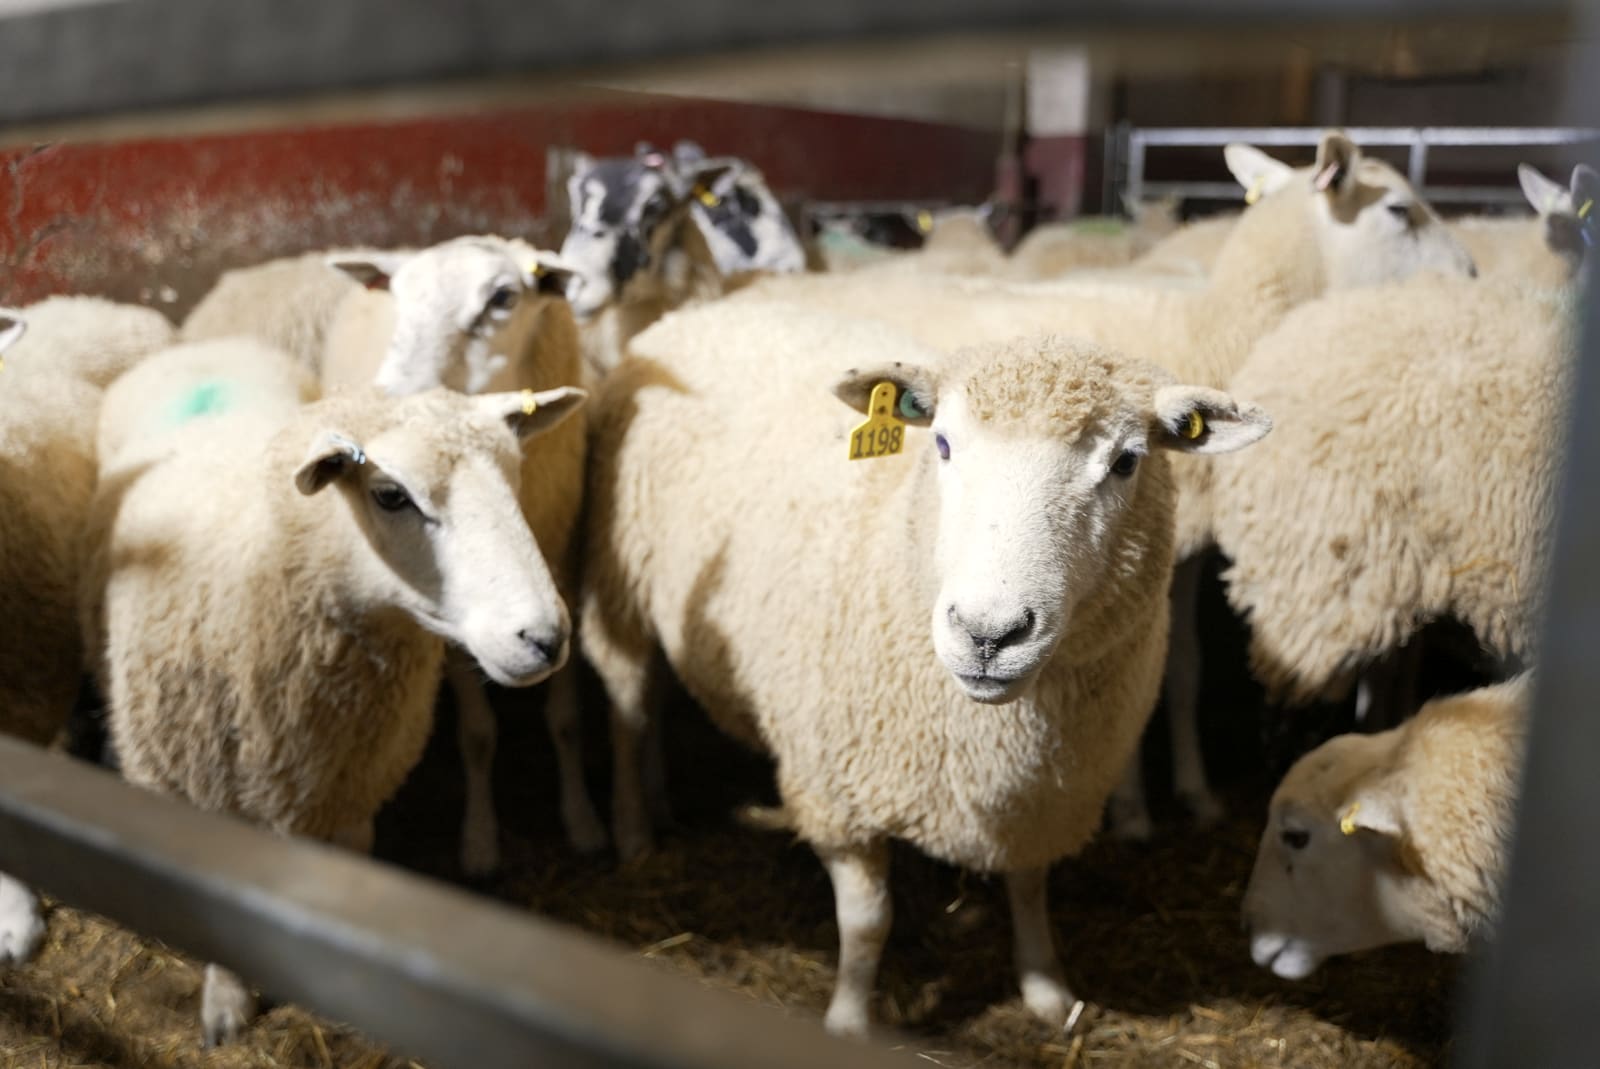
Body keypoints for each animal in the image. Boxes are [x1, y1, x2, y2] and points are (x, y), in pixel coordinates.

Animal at [80, 337, 585, 1044]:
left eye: (513, 479)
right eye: (391, 495)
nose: (544, 636)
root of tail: (203, 345)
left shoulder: (352, 785)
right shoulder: (201, 792)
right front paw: (227, 1006)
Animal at [319, 233, 605, 867]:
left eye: (502, 299)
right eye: (400, 298)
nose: (385, 404)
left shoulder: (566, 571)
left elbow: (568, 721)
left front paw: (582, 822)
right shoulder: (447, 610)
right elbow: (476, 736)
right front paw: (478, 843)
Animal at [581, 300, 1273, 1034]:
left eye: (1126, 461)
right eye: (941, 444)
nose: (989, 633)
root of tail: (706, 307)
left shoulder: (1041, 799)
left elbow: (1029, 887)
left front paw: (1045, 987)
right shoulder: (836, 793)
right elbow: (867, 922)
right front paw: (850, 1019)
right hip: (619, 582)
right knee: (627, 704)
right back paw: (633, 830)